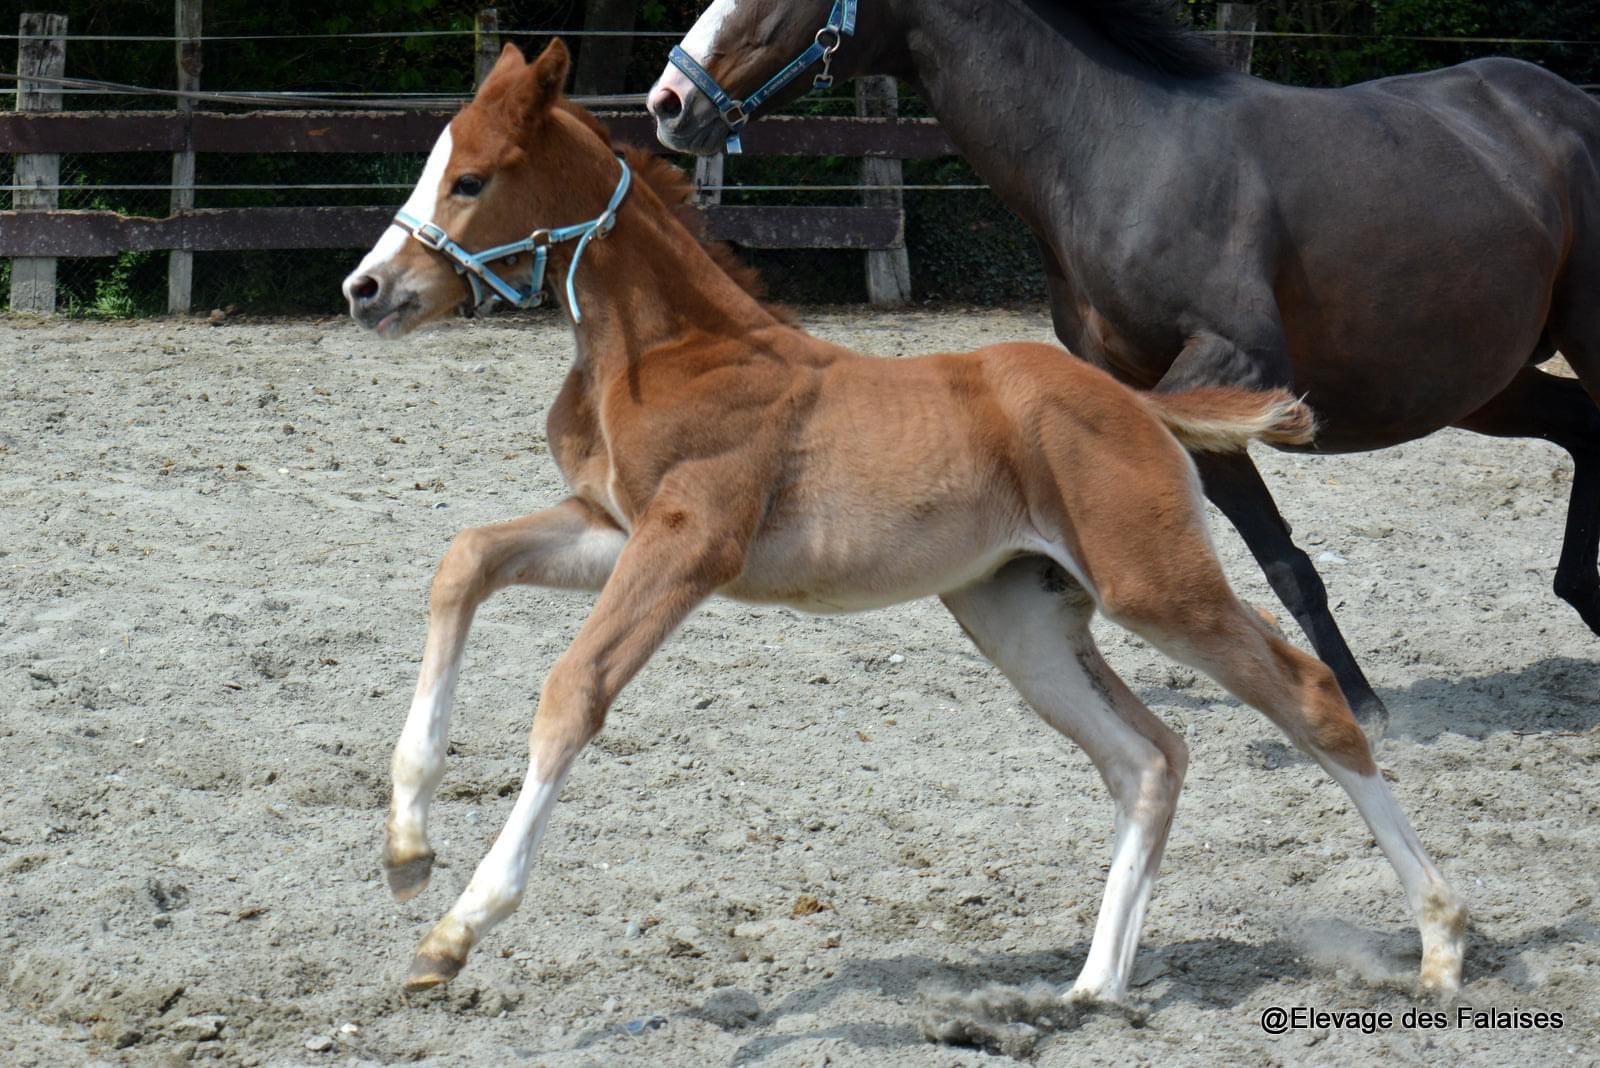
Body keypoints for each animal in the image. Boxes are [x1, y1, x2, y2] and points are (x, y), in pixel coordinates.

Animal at [344, 41, 1465, 1004]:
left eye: (472, 181)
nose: (367, 289)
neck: (665, 351)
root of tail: (1136, 402)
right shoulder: (609, 528)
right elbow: (464, 561)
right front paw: (406, 850)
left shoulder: (690, 544)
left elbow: (572, 690)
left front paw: (456, 929)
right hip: (1017, 614)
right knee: (1146, 759)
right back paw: (1092, 987)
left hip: (1152, 585)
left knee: (1306, 697)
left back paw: (1442, 941)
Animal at [646, 0, 1600, 735]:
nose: (668, 100)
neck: (1113, 151)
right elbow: (1284, 559)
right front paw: (1361, 702)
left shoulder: (1233, 359)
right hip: (1475, 382)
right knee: (1581, 429)